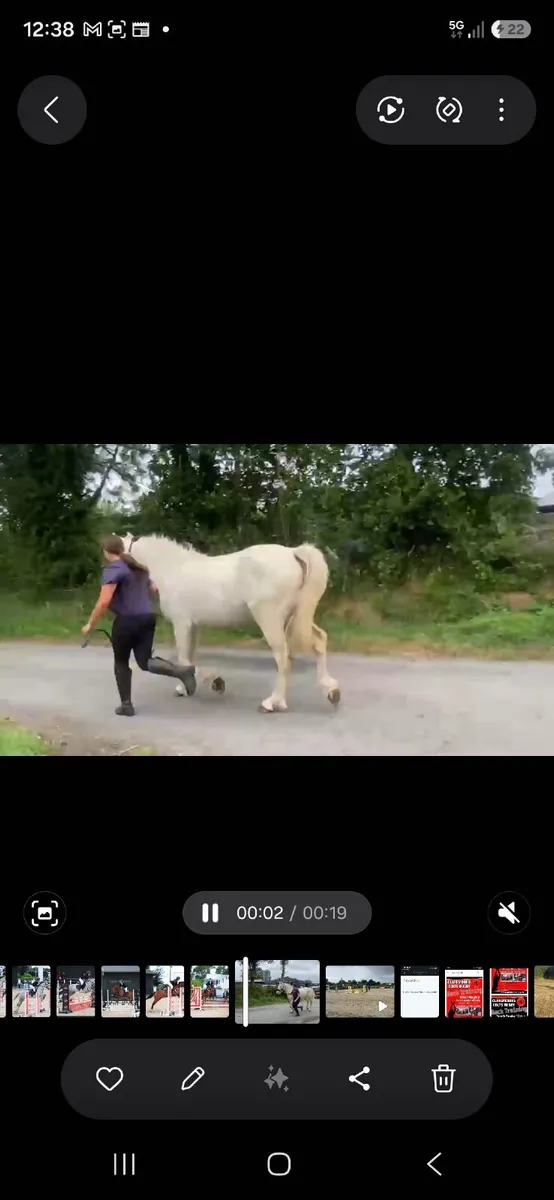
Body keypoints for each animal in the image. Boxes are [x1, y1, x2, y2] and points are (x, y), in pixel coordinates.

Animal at [120, 533, 341, 714]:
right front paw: (195, 685)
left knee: (282, 657)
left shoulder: (182, 623)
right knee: (319, 641)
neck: (173, 569)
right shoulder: (195, 626)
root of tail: (293, 553)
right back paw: (331, 691)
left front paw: (203, 684)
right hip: (296, 617)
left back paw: (272, 703)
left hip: (270, 619)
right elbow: (190, 657)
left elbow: (183, 659)